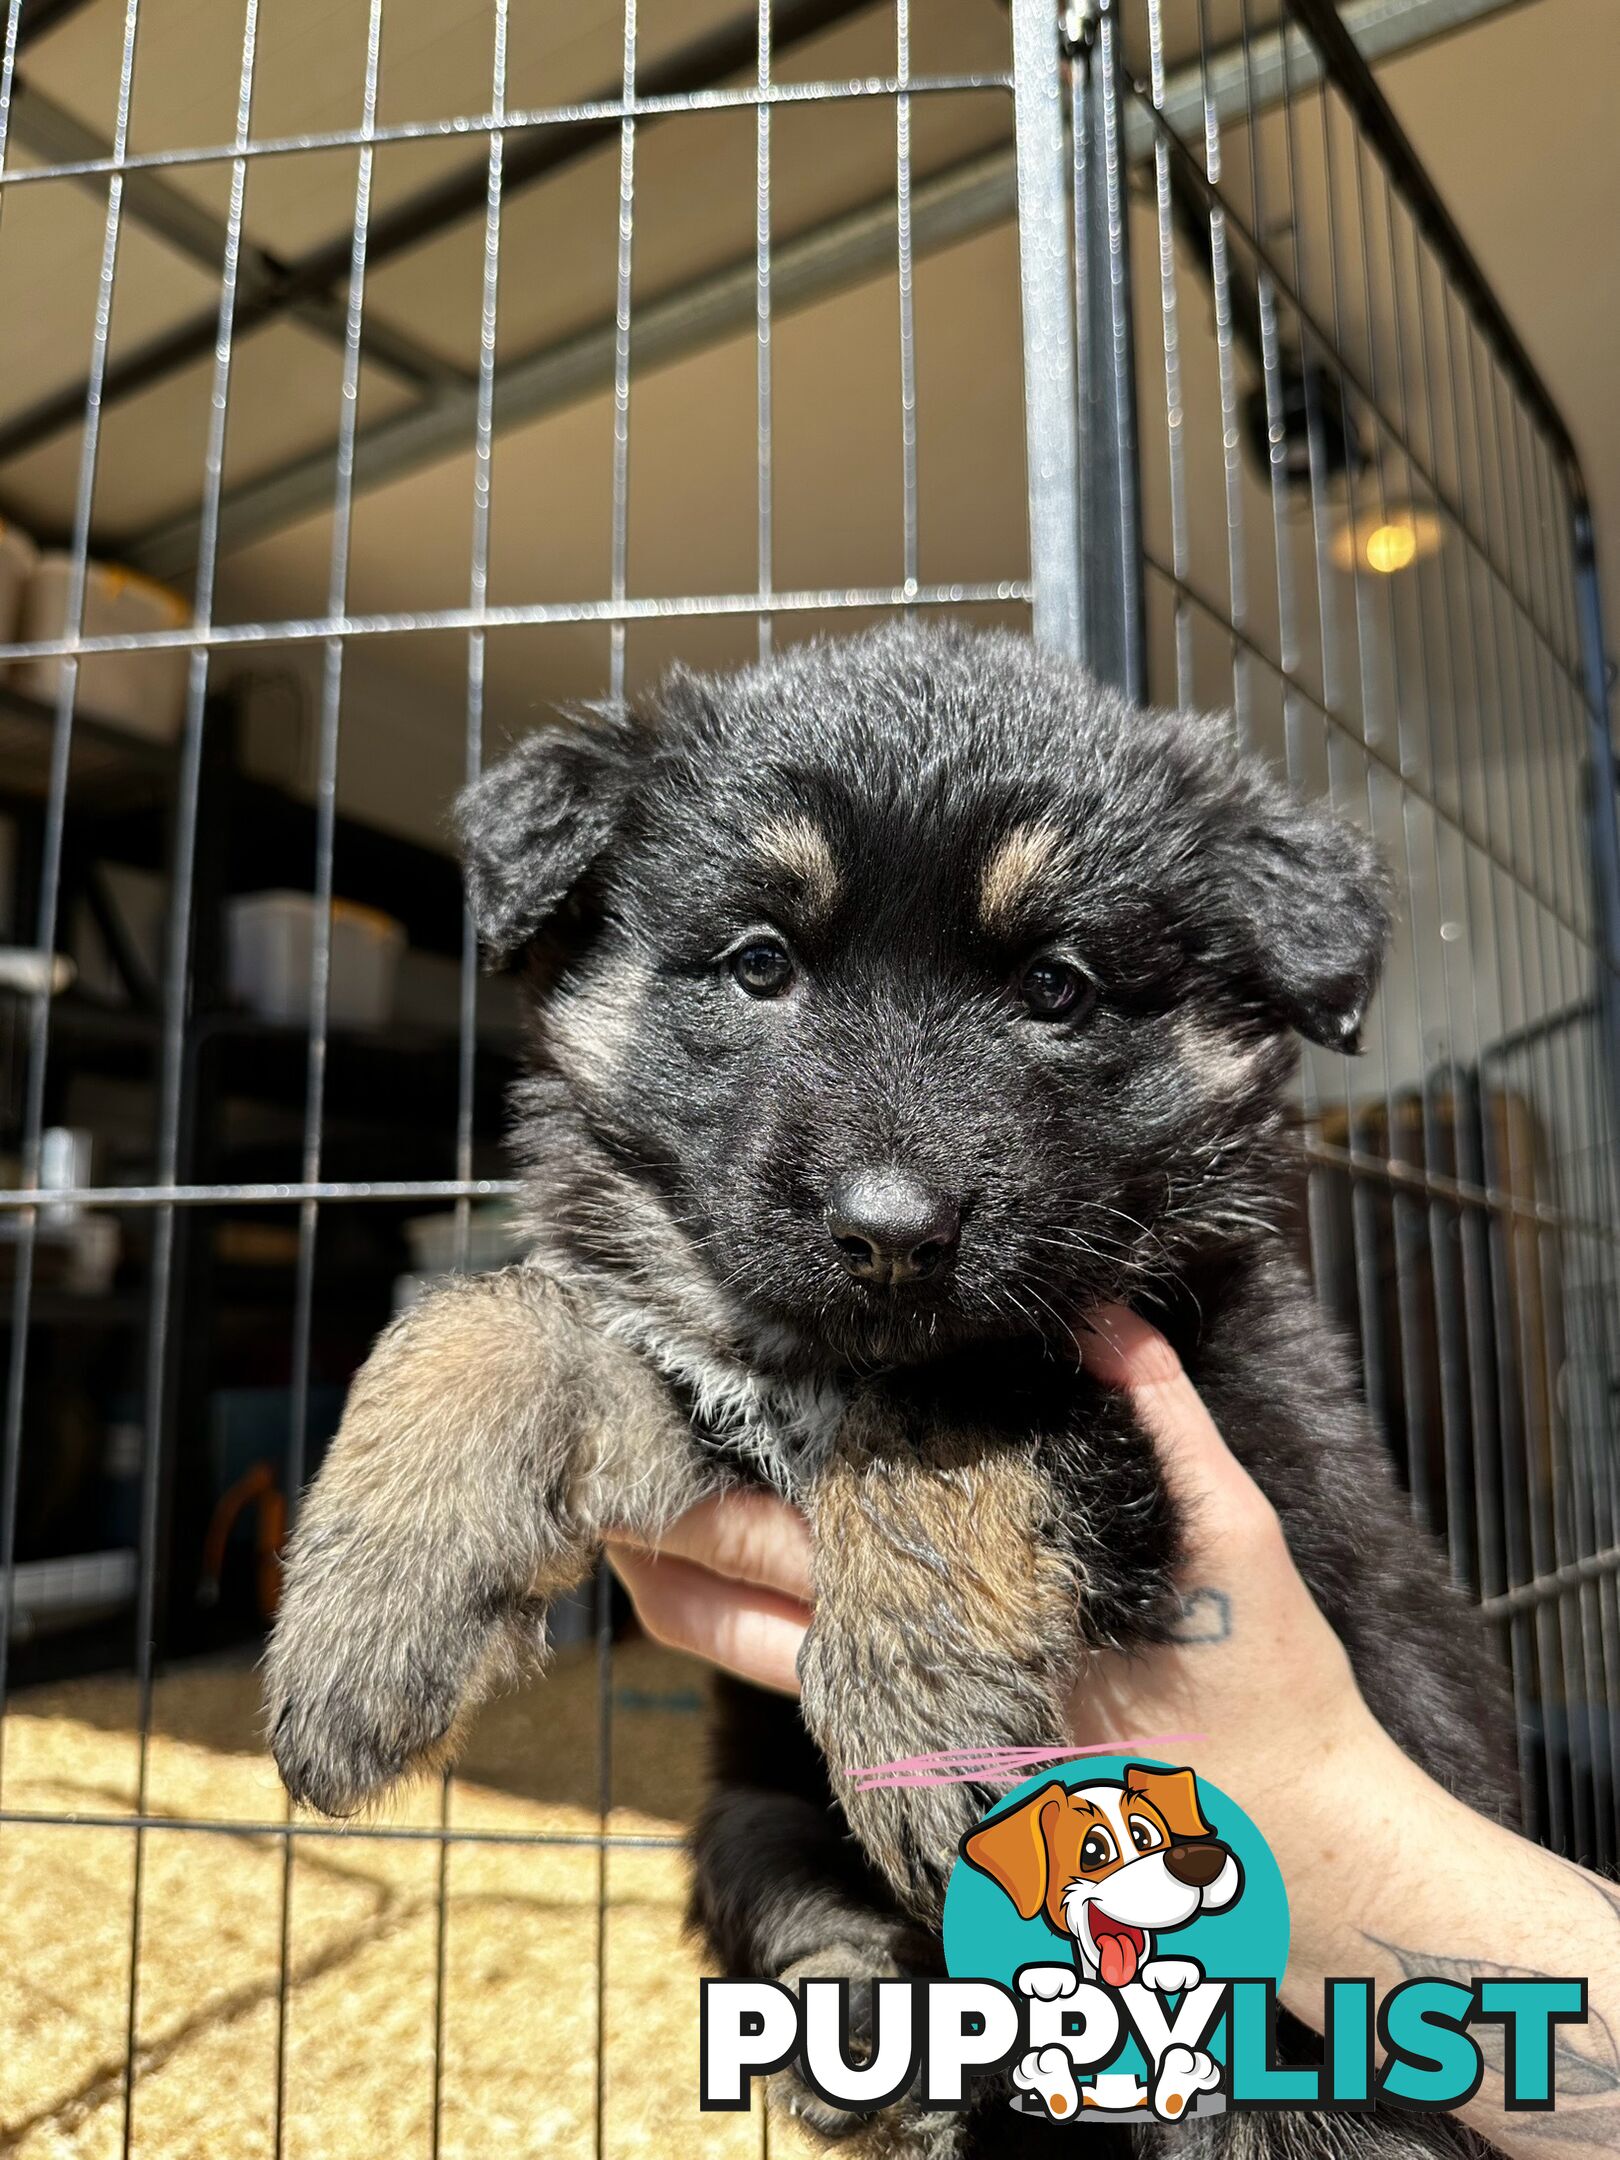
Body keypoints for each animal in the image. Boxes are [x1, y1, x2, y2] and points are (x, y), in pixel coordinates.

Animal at [266, 626, 1520, 2160]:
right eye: (759, 963)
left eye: (1058, 988)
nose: (891, 1232)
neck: (827, 1354)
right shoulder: (699, 1391)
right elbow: (478, 1318)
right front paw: (361, 1631)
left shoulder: (1185, 1403)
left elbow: (950, 1412)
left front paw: (921, 1726)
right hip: (747, 1818)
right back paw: (871, 2034)